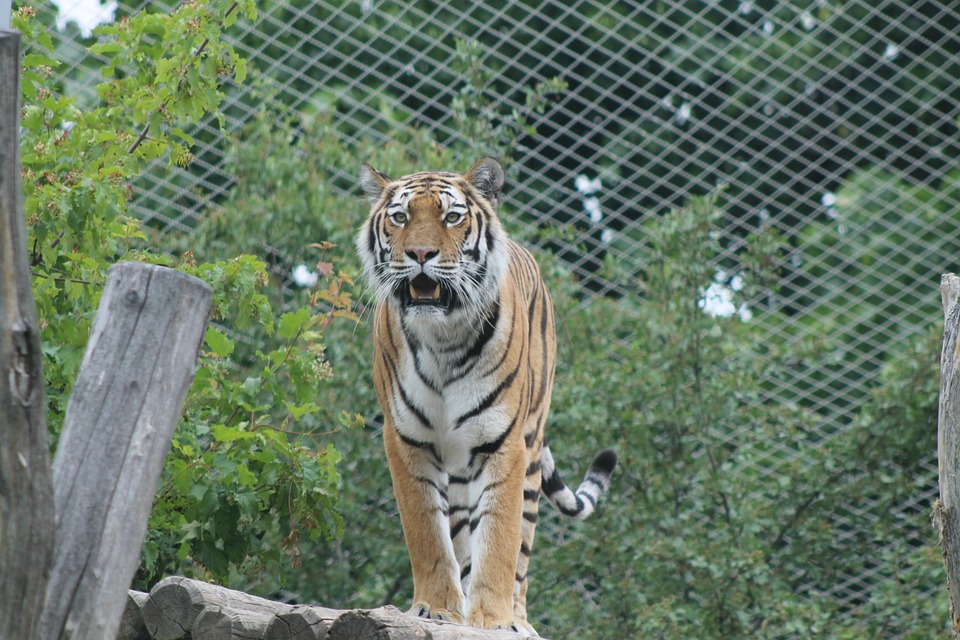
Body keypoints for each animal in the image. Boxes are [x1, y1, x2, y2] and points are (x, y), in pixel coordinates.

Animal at [356, 156, 620, 636]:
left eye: (451, 217)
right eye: (400, 218)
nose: (419, 254)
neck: (442, 338)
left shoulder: (504, 442)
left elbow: (499, 538)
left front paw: (494, 621)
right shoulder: (406, 440)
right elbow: (427, 534)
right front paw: (435, 609)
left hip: (530, 450)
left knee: (522, 549)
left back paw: (518, 620)